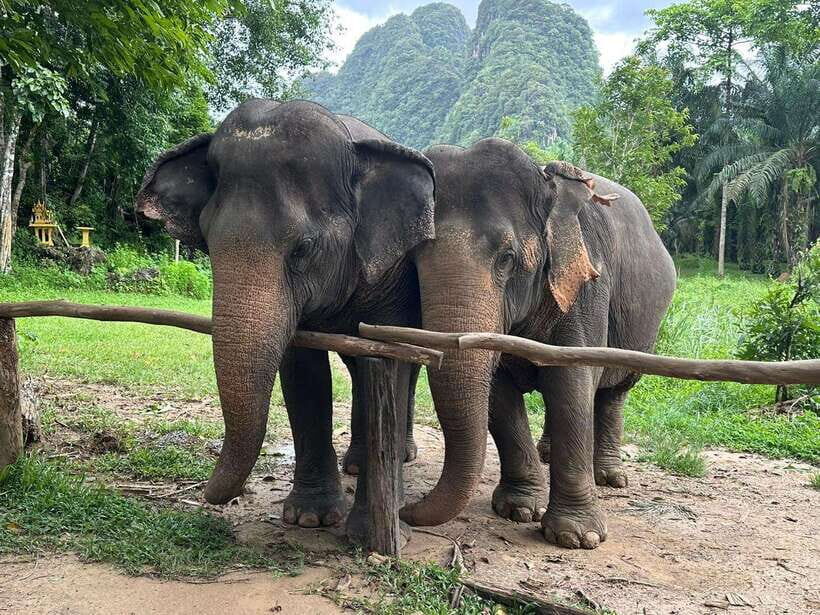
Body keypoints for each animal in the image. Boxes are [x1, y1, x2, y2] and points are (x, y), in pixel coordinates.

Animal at [135, 99, 442, 533]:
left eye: (303, 248)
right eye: (208, 243)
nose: (207, 494)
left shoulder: (391, 272)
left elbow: (392, 360)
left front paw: (367, 527)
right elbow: (302, 372)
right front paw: (309, 518)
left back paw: (400, 459)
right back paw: (356, 464)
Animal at [409, 138, 676, 548]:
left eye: (507, 258)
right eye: (413, 260)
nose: (406, 511)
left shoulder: (588, 285)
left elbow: (572, 380)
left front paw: (576, 537)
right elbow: (499, 393)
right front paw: (519, 510)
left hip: (645, 331)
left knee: (614, 391)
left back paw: (610, 478)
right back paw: (547, 453)